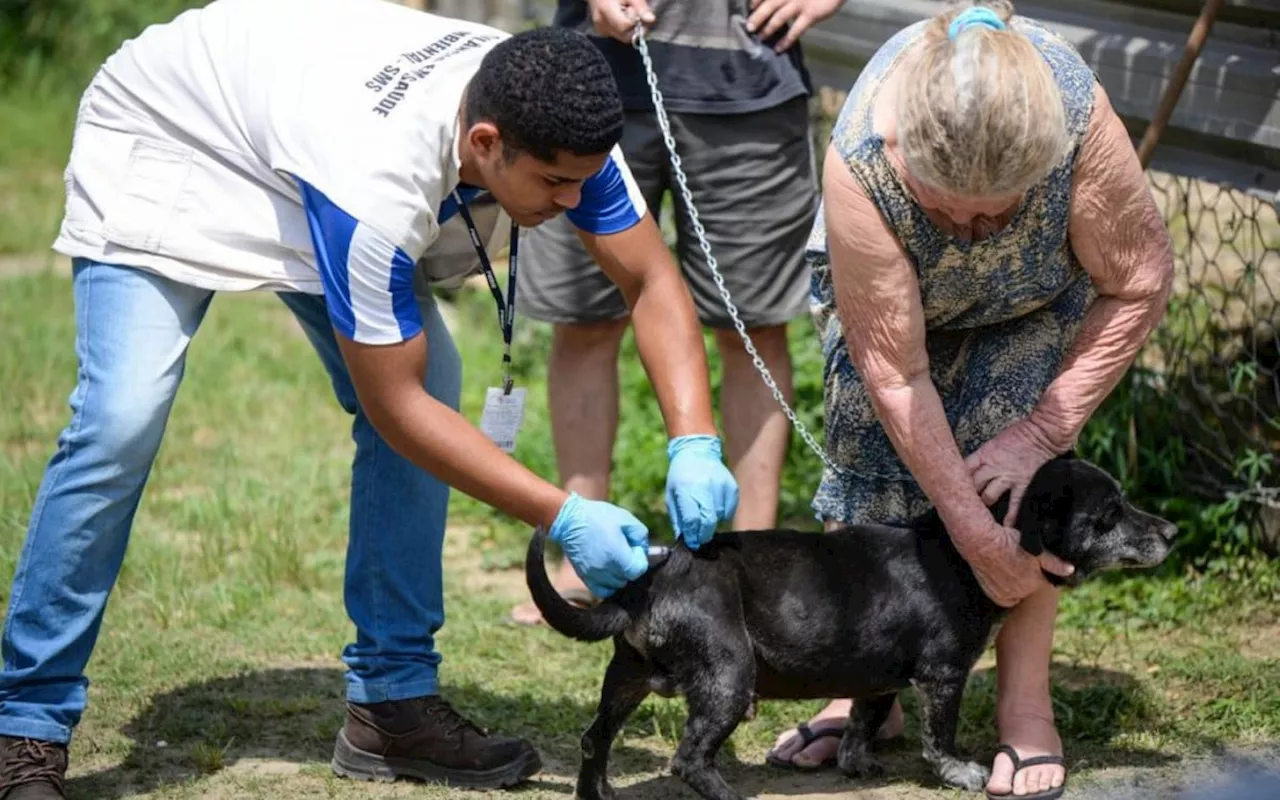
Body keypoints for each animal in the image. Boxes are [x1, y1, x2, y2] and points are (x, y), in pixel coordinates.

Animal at [527, 455, 1177, 798]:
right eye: (1110, 514)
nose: (1171, 532)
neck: (959, 554)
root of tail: (651, 577)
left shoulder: (878, 677)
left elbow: (864, 721)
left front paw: (856, 763)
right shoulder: (943, 675)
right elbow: (939, 738)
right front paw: (961, 773)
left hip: (626, 677)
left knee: (594, 738)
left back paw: (599, 793)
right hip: (727, 676)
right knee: (687, 759)